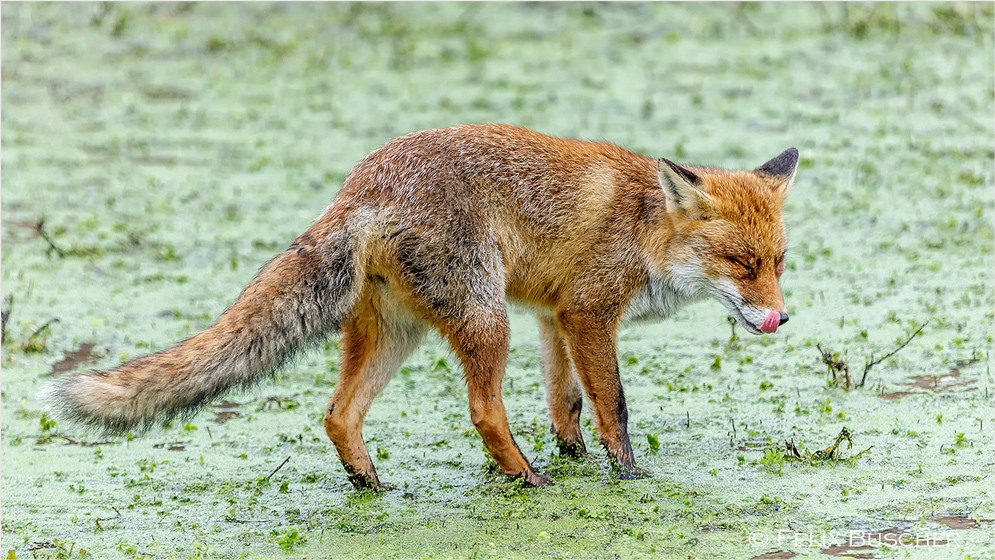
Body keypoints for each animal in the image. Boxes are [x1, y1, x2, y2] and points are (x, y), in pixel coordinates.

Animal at [44, 123, 800, 490]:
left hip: (396, 333)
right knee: (483, 410)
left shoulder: (553, 316)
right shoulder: (587, 313)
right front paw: (630, 476)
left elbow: (566, 403)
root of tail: (359, 184)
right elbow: (611, 405)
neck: (641, 225)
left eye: (781, 262)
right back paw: (526, 478)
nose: (780, 318)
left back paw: (370, 484)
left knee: (337, 413)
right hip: (486, 319)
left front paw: (576, 455)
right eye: (742, 264)